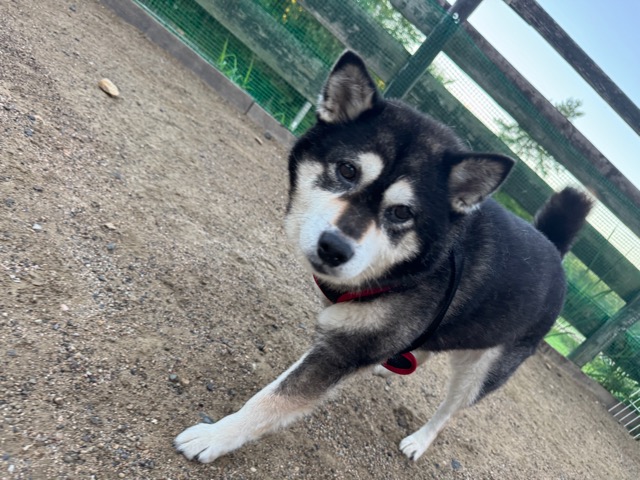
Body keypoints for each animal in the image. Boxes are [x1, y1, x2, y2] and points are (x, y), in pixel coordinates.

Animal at [175, 51, 592, 463]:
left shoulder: (343, 351)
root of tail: (553, 250)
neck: (412, 266)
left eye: (402, 212)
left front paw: (215, 435)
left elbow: (276, 399)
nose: (334, 248)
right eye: (347, 170)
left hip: (483, 371)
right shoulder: (348, 336)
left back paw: (420, 440)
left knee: (448, 410)